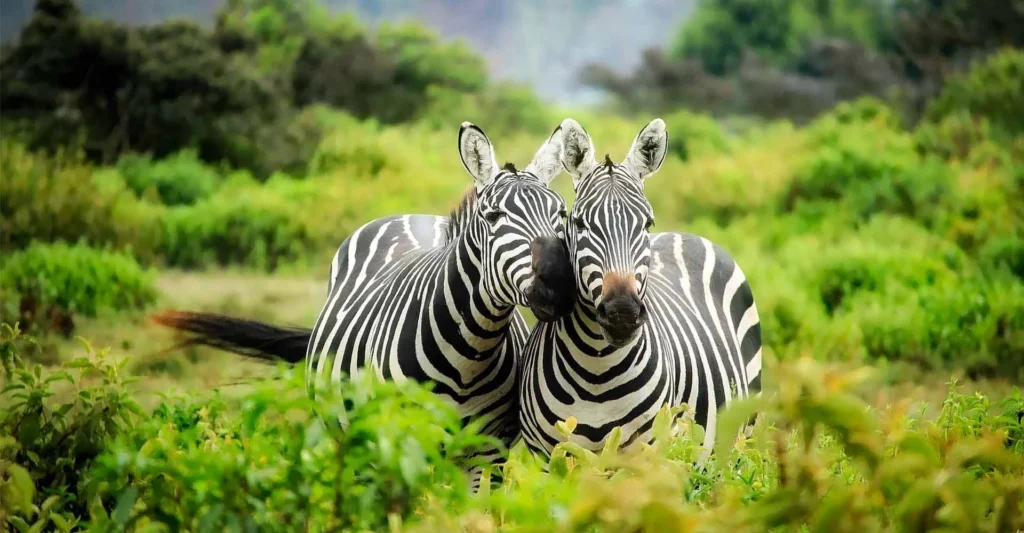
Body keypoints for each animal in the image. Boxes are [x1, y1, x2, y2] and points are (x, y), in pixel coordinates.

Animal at [152, 121, 577, 484]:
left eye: (561, 213)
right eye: (493, 216)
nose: (559, 282)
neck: (469, 355)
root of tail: (411, 215)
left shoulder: (486, 453)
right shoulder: (399, 442)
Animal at [518, 117, 762, 459]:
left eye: (647, 223)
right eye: (579, 223)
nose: (622, 313)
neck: (596, 371)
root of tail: (685, 234)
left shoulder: (646, 454)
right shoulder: (547, 457)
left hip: (740, 436)